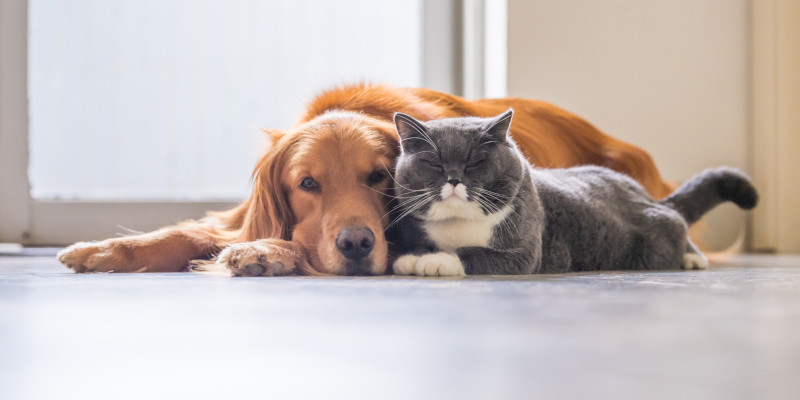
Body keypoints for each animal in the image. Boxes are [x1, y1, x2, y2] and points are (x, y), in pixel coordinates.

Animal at [56, 83, 672, 276]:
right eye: (307, 185)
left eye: (378, 176)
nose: (355, 244)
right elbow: (189, 232)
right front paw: (102, 250)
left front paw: (266, 253)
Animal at [390, 111, 760, 276]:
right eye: (434, 164)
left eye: (475, 162)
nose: (454, 179)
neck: (459, 223)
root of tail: (643, 194)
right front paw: (413, 256)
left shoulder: (524, 253)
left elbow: (471, 253)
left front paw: (432, 261)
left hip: (655, 237)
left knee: (677, 224)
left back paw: (693, 258)